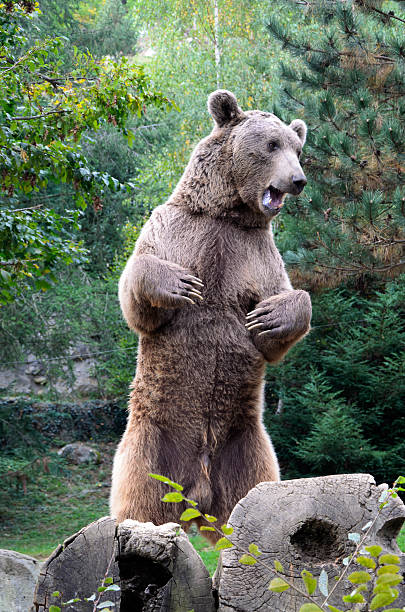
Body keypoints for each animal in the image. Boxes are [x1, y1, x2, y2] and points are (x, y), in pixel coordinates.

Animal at [109, 89, 310, 536]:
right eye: (272, 144)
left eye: (298, 147)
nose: (298, 180)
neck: (227, 213)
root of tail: (198, 495)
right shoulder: (178, 229)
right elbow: (138, 293)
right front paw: (178, 284)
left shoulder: (255, 253)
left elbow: (284, 307)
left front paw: (271, 316)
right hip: (153, 443)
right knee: (141, 496)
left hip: (245, 448)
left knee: (252, 499)